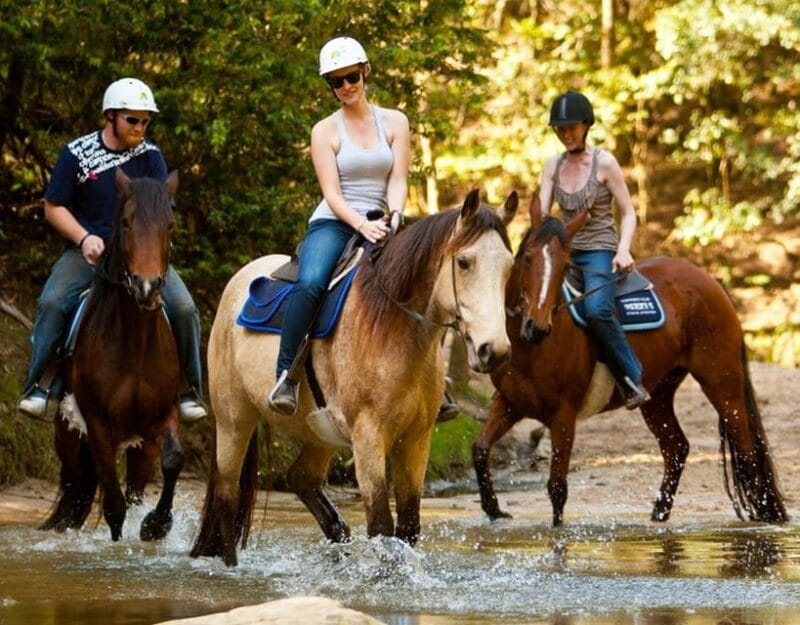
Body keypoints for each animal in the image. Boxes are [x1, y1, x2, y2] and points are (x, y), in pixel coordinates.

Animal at [40, 169, 184, 541]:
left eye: (170, 224)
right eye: (126, 223)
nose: (147, 286)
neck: (134, 343)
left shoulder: (160, 419)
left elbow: (173, 461)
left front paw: (156, 525)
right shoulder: (99, 428)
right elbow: (114, 509)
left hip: (138, 445)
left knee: (129, 489)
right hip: (68, 433)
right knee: (75, 484)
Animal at [191, 189, 518, 565]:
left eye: (509, 266)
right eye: (464, 262)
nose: (494, 350)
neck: (394, 328)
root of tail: (237, 282)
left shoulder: (416, 439)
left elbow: (408, 527)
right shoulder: (368, 437)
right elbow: (381, 526)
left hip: (319, 432)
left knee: (300, 479)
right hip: (234, 420)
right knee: (226, 496)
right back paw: (230, 565)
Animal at [473, 197, 788, 527]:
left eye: (565, 265)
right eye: (527, 257)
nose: (537, 326)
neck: (531, 350)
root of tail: (710, 281)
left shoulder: (563, 416)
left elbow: (557, 488)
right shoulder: (509, 403)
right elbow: (479, 450)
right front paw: (493, 509)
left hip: (722, 383)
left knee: (747, 448)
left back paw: (764, 514)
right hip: (658, 395)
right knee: (676, 447)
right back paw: (659, 514)